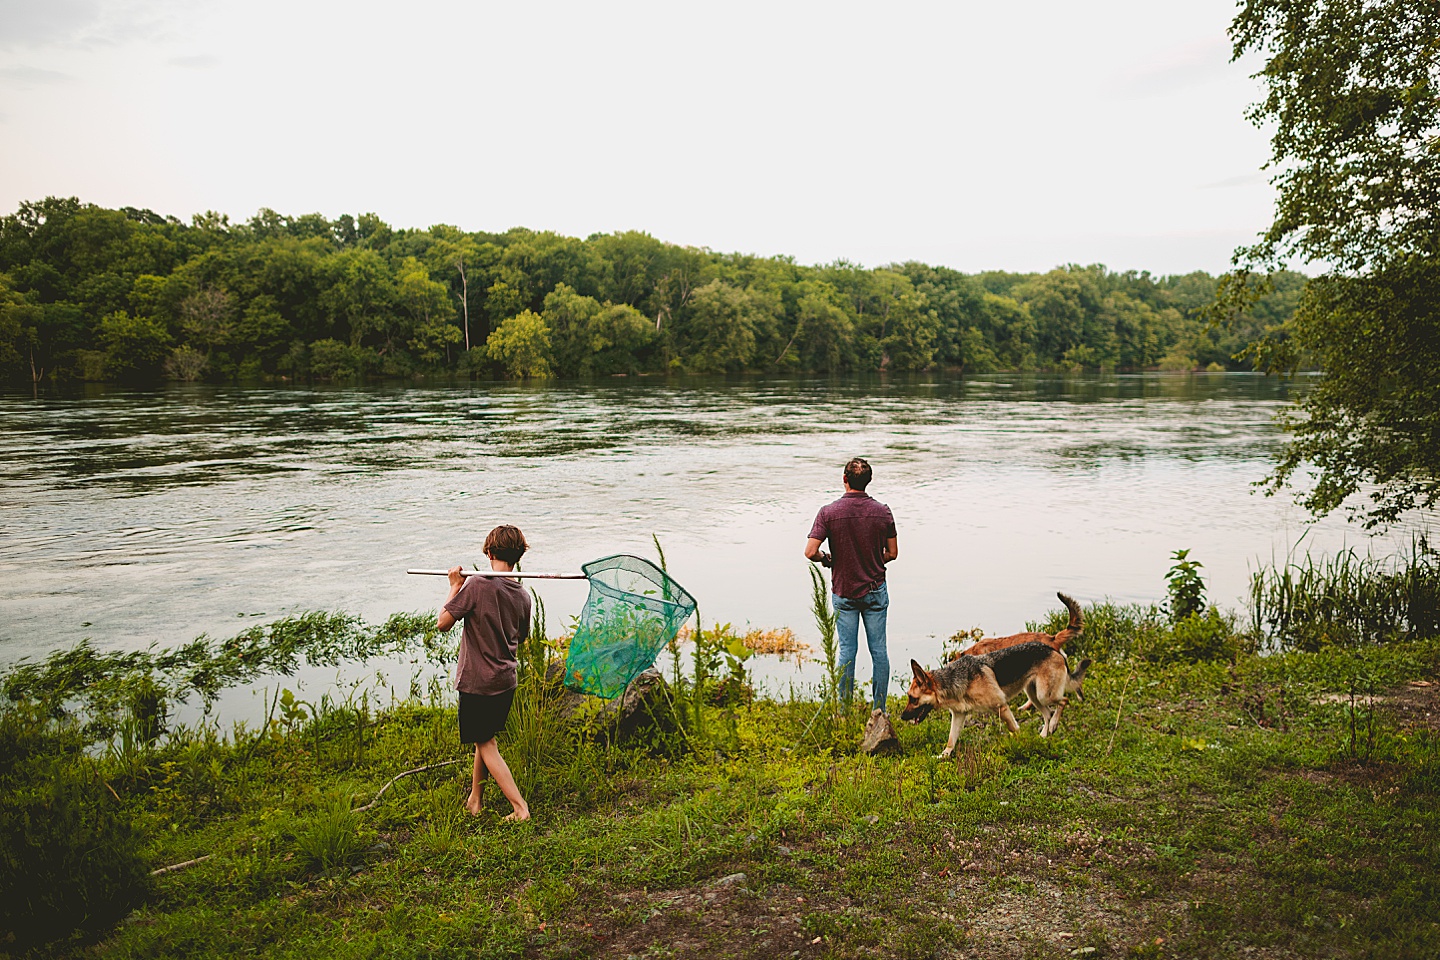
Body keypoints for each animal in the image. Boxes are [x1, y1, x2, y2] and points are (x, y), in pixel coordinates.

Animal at [898, 641, 1088, 754]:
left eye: (913, 699)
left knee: (1063, 701)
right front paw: (944, 755)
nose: (901, 717)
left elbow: (1014, 729)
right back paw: (1044, 735)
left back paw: (1053, 725)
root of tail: (1055, 650)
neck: (953, 680)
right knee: (1048, 713)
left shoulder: (1001, 707)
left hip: (1044, 695)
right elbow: (951, 739)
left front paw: (1022, 744)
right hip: (1034, 696)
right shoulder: (958, 716)